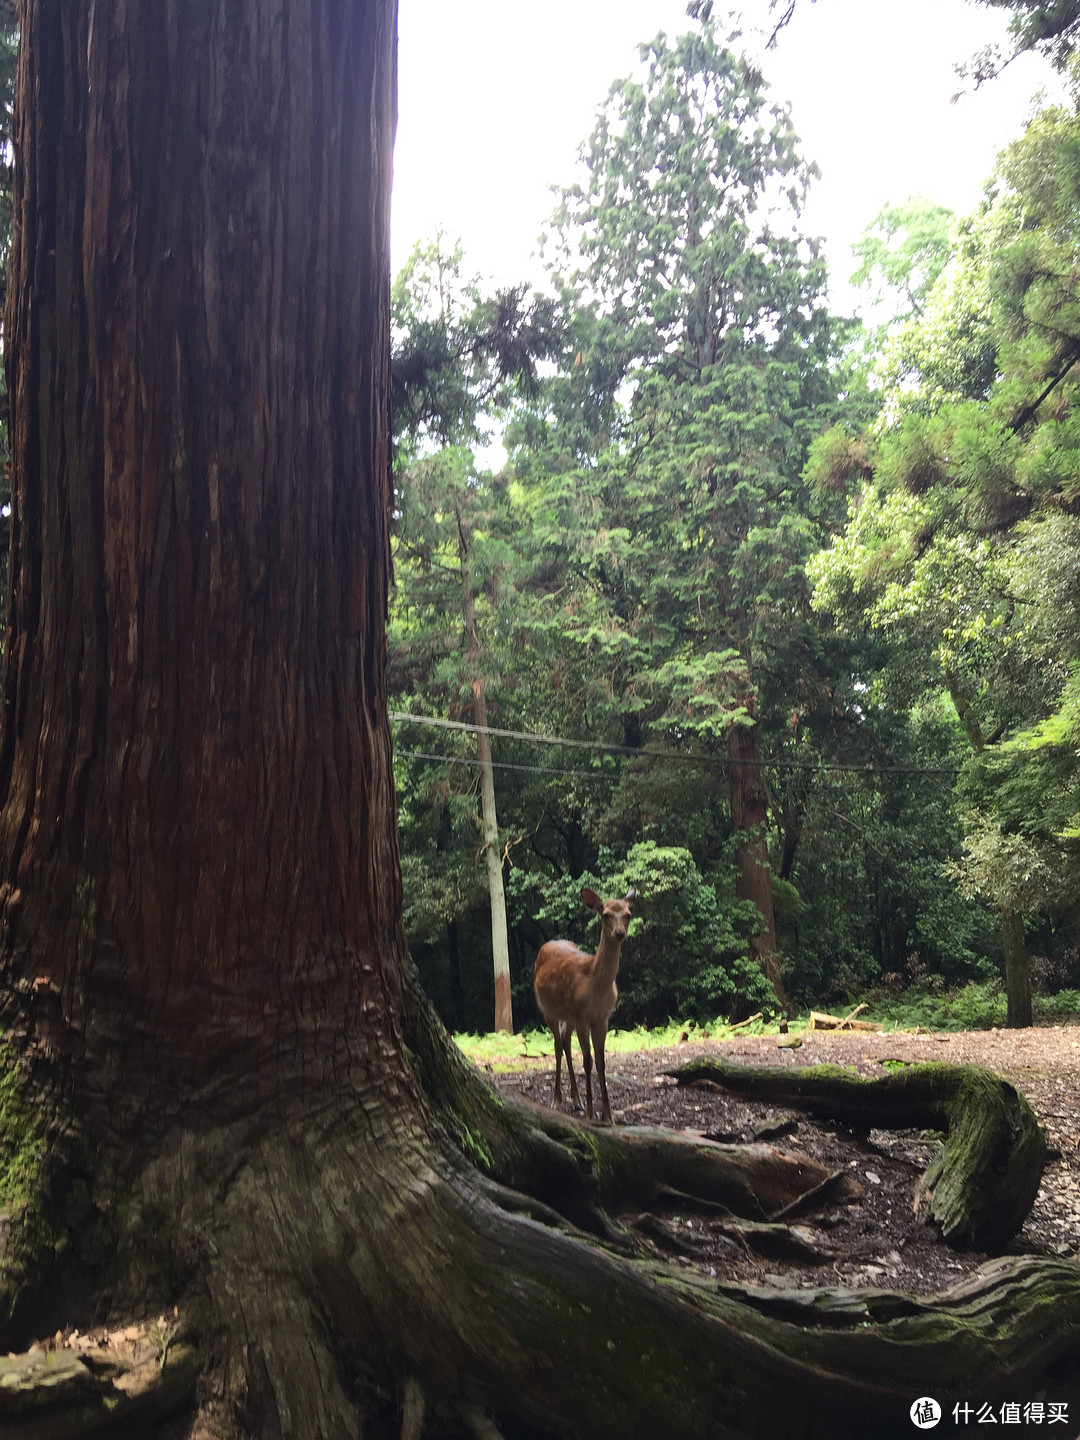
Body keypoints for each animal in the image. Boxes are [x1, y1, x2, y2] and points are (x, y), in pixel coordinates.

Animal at [535, 881, 639, 1128]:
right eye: (605, 915)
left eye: (628, 914)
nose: (619, 933)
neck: (596, 986)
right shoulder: (582, 1016)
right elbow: (588, 1060)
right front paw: (592, 1114)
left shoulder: (602, 1018)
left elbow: (601, 1062)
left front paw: (608, 1115)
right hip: (549, 1011)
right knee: (557, 1046)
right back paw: (557, 1099)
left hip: (569, 1016)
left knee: (564, 1043)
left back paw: (577, 1099)